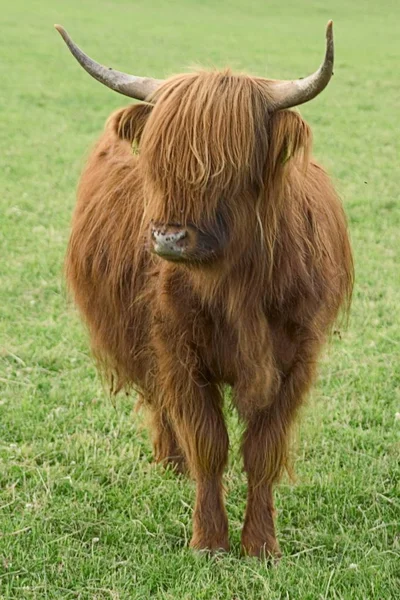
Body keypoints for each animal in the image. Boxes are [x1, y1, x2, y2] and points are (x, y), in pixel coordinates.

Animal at [57, 23, 354, 556]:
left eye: (227, 167)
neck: (240, 287)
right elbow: (208, 443)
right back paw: (170, 464)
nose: (168, 238)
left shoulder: (297, 359)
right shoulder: (177, 350)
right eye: (157, 163)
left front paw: (260, 545)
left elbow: (262, 451)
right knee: (159, 402)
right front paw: (210, 541)